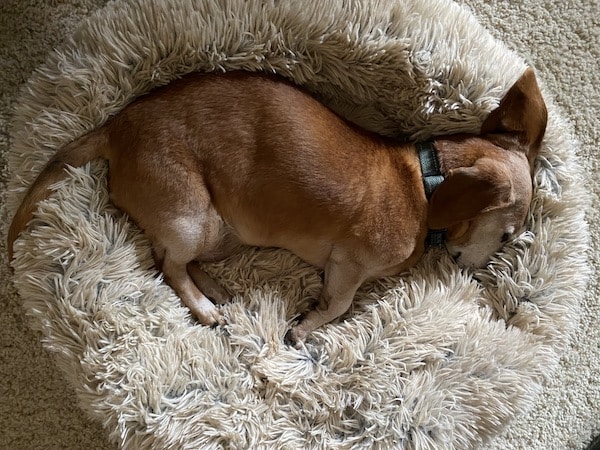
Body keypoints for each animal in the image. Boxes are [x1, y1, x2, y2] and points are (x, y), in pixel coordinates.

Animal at [7, 67, 548, 348]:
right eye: (506, 235)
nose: (477, 270)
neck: (425, 183)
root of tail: (115, 129)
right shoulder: (347, 265)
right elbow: (339, 305)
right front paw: (303, 326)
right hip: (194, 220)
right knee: (167, 266)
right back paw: (205, 308)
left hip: (224, 233)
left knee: (176, 261)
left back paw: (215, 290)